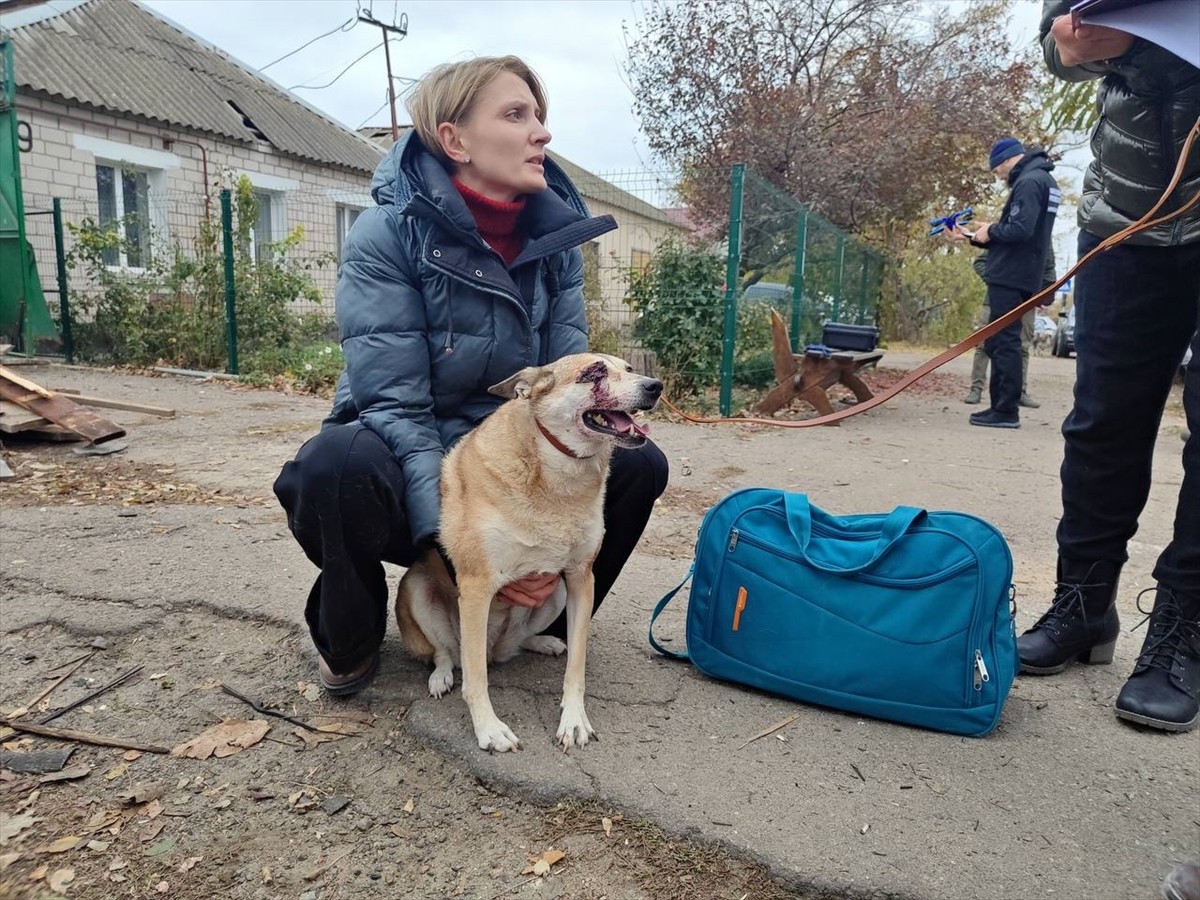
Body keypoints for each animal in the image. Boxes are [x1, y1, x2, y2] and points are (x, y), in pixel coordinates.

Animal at [396, 352, 662, 753]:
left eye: (629, 369)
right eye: (593, 373)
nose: (655, 386)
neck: (556, 476)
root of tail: (496, 649)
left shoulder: (581, 577)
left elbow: (577, 666)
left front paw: (574, 719)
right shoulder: (476, 587)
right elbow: (476, 680)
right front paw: (488, 729)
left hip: (556, 594)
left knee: (518, 642)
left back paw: (543, 641)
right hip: (416, 590)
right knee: (446, 654)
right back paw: (441, 676)